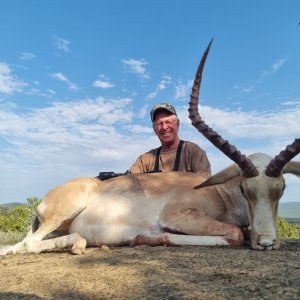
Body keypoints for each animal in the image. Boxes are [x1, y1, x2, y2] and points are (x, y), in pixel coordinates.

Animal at [1, 40, 298, 255]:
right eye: (244, 188)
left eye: (281, 189)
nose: (267, 242)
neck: (219, 192)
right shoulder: (177, 215)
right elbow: (235, 234)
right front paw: (147, 237)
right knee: (30, 244)